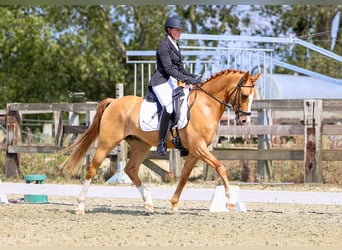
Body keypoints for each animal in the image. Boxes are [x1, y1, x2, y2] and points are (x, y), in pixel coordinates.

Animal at [59, 69, 262, 215]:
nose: (244, 120)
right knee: (92, 167)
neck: (205, 105)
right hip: (107, 142)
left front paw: (173, 205)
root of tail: (114, 102)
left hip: (141, 145)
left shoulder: (195, 151)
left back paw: (148, 204)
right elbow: (220, 167)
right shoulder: (199, 148)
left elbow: (184, 176)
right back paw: (80, 206)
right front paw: (230, 201)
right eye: (245, 95)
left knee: (131, 169)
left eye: (253, 97)